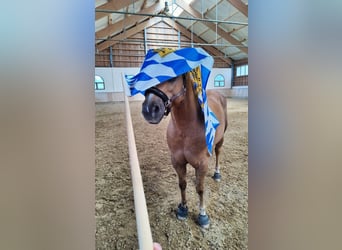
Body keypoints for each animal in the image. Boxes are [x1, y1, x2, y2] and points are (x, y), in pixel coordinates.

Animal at [140, 71, 228, 229]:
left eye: (174, 76)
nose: (149, 109)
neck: (186, 129)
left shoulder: (202, 163)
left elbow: (200, 189)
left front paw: (203, 215)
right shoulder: (178, 161)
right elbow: (182, 185)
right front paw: (183, 208)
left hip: (221, 139)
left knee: (218, 153)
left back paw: (217, 174)